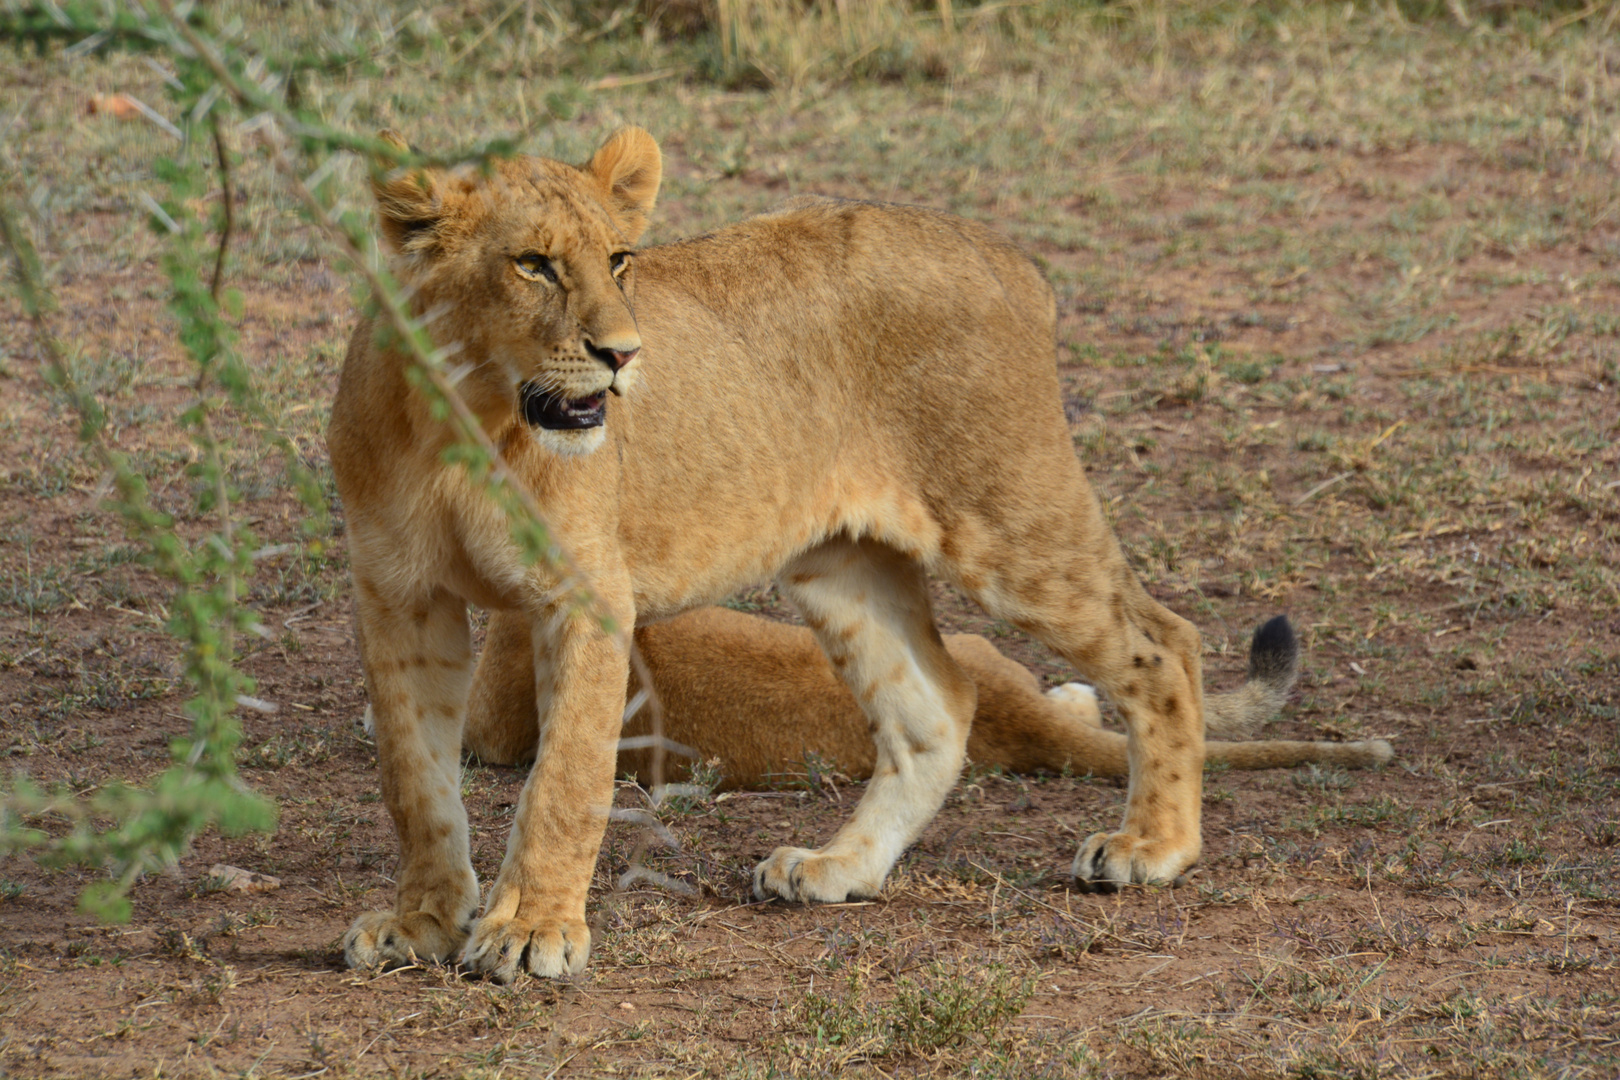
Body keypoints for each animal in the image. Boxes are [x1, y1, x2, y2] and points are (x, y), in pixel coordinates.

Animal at [332, 124, 1341, 977]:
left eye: (619, 261)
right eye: (533, 265)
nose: (623, 355)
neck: (462, 416)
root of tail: (1004, 254)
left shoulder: (583, 598)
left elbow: (564, 777)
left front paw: (532, 929)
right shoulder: (397, 599)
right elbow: (415, 780)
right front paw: (423, 921)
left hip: (1010, 517)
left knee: (1163, 642)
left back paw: (1153, 847)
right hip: (843, 563)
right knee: (939, 706)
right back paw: (840, 866)